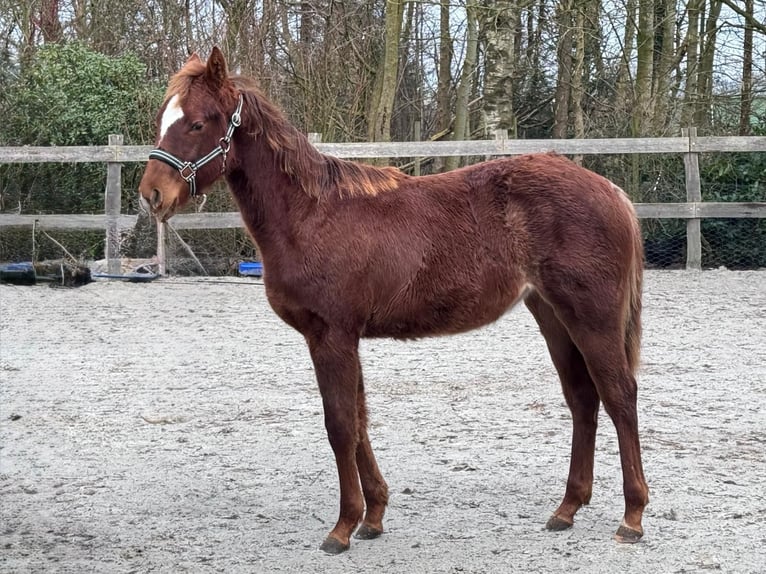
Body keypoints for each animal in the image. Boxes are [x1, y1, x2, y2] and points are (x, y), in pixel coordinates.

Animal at [139, 47, 649, 554]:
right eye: (164, 119)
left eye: (198, 123)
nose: (152, 194)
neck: (311, 215)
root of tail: (612, 191)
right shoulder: (345, 338)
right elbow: (360, 421)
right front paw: (373, 516)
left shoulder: (331, 336)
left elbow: (340, 425)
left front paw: (342, 527)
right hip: (553, 316)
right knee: (583, 398)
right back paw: (567, 508)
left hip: (592, 319)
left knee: (619, 395)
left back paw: (632, 516)